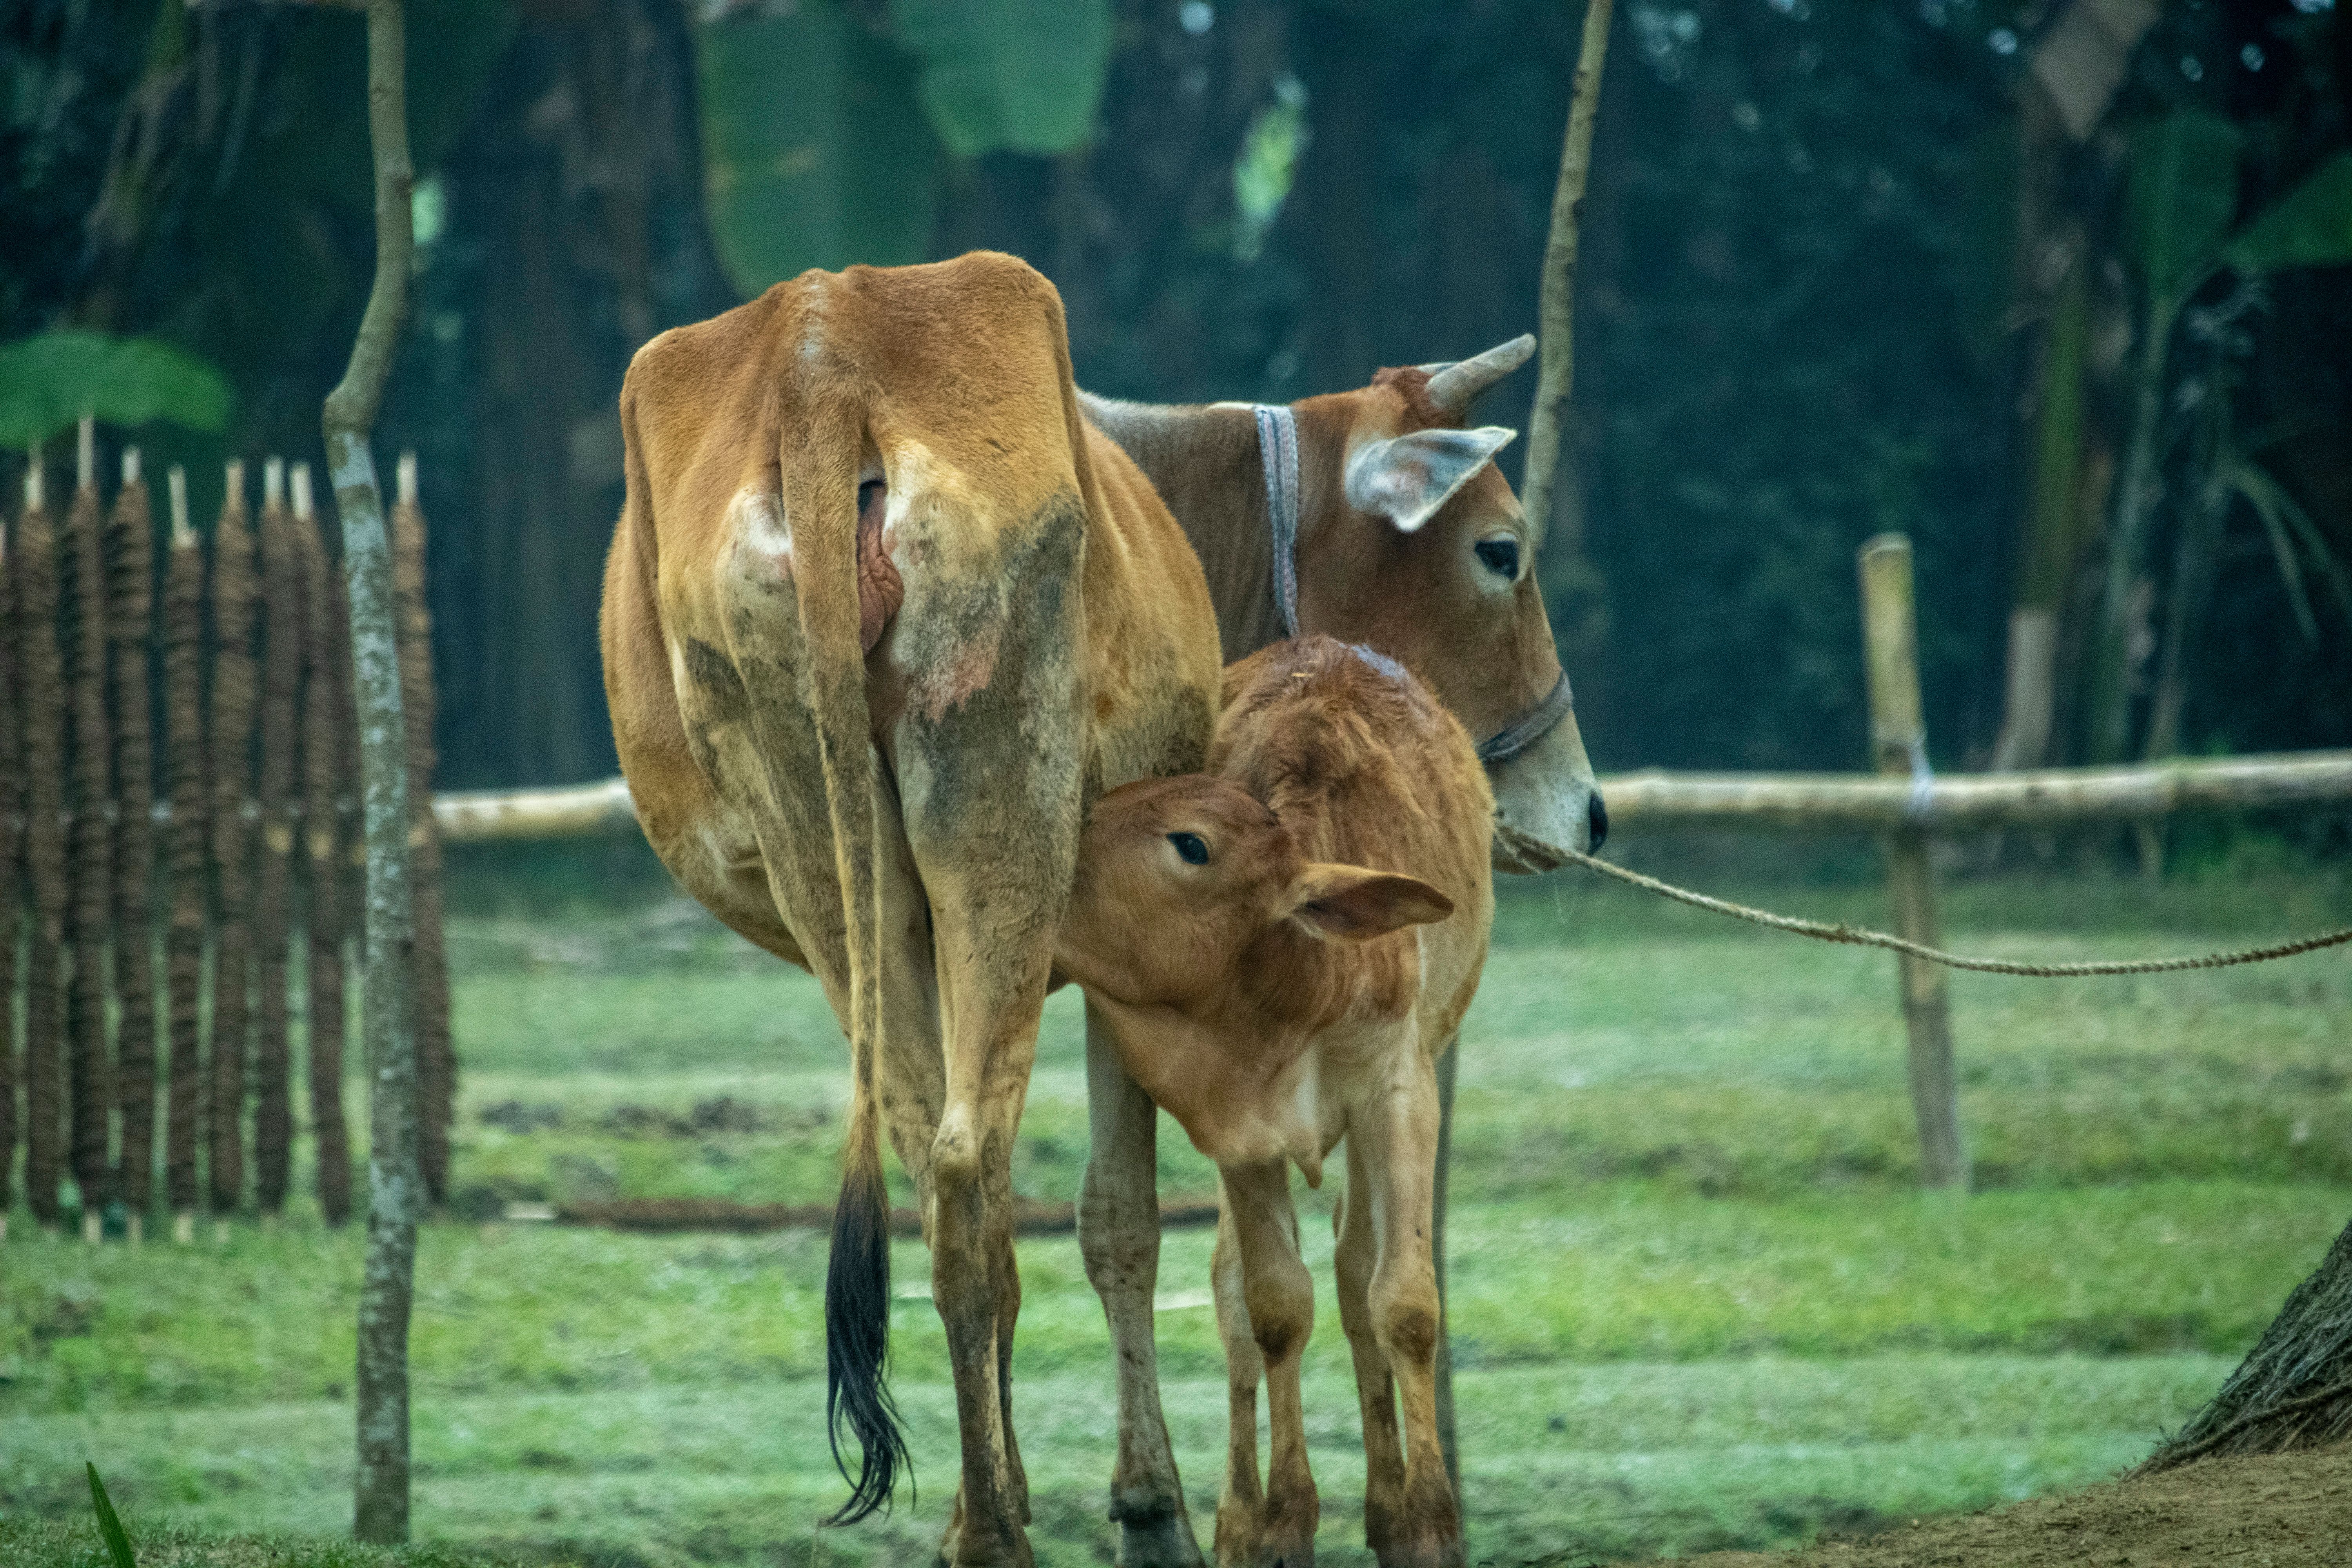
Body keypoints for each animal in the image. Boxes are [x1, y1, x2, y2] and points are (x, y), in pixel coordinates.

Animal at [599, 252, 1222, 1565]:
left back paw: (981, 1523)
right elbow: (1125, 1214)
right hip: (1005, 807)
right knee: (964, 1166)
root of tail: (818, 359)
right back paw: (997, 1527)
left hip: (823, 836)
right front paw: (1147, 1507)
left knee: (933, 1165)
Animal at [1055, 636, 1494, 1568]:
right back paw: (1239, 1516)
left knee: (1359, 1269)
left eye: (1190, 843)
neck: (1298, 984)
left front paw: (1430, 1520)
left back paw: (1388, 1502)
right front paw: (1285, 1518)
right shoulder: (1239, 1134)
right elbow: (1274, 1307)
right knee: (1238, 1295)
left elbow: (1404, 1302)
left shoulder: (1399, 1093)